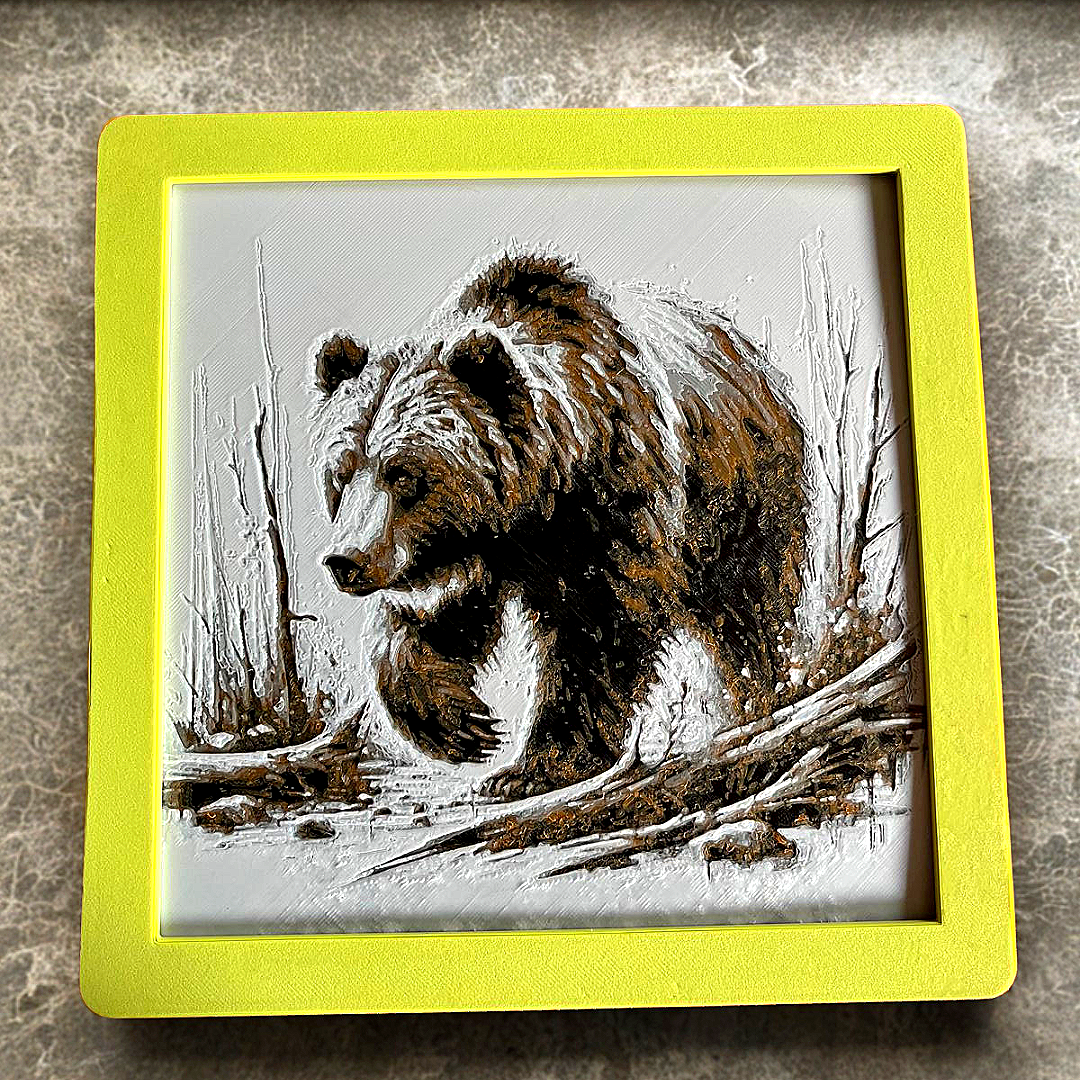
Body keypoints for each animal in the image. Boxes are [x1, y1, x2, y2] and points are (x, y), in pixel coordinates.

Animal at [312, 252, 807, 798]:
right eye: (341, 473)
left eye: (404, 473)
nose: (346, 561)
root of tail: (751, 356)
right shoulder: (473, 547)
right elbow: (443, 619)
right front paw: (461, 725)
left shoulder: (613, 512)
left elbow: (599, 633)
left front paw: (532, 766)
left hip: (742, 500)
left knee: (752, 614)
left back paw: (763, 697)